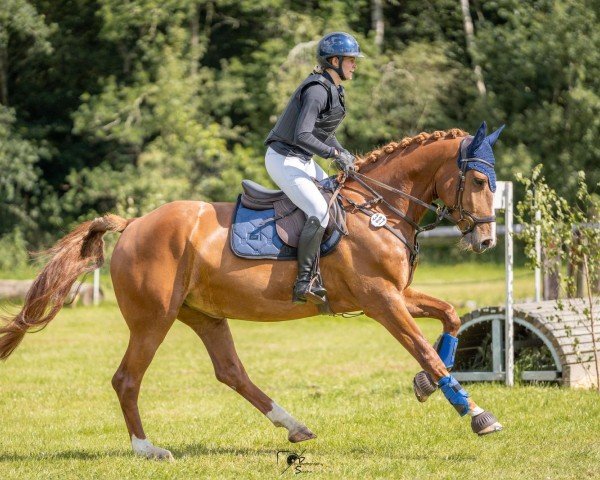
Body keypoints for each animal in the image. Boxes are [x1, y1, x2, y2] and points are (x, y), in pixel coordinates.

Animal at [1, 122, 502, 460]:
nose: (486, 241)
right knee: (127, 379)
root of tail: (134, 223)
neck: (378, 210)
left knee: (230, 372)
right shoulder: (381, 300)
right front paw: (478, 415)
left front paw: (426, 385)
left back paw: (295, 426)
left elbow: (449, 316)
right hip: (153, 319)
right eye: (479, 181)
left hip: (203, 314)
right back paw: (148, 449)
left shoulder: (396, 295)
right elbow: (425, 349)